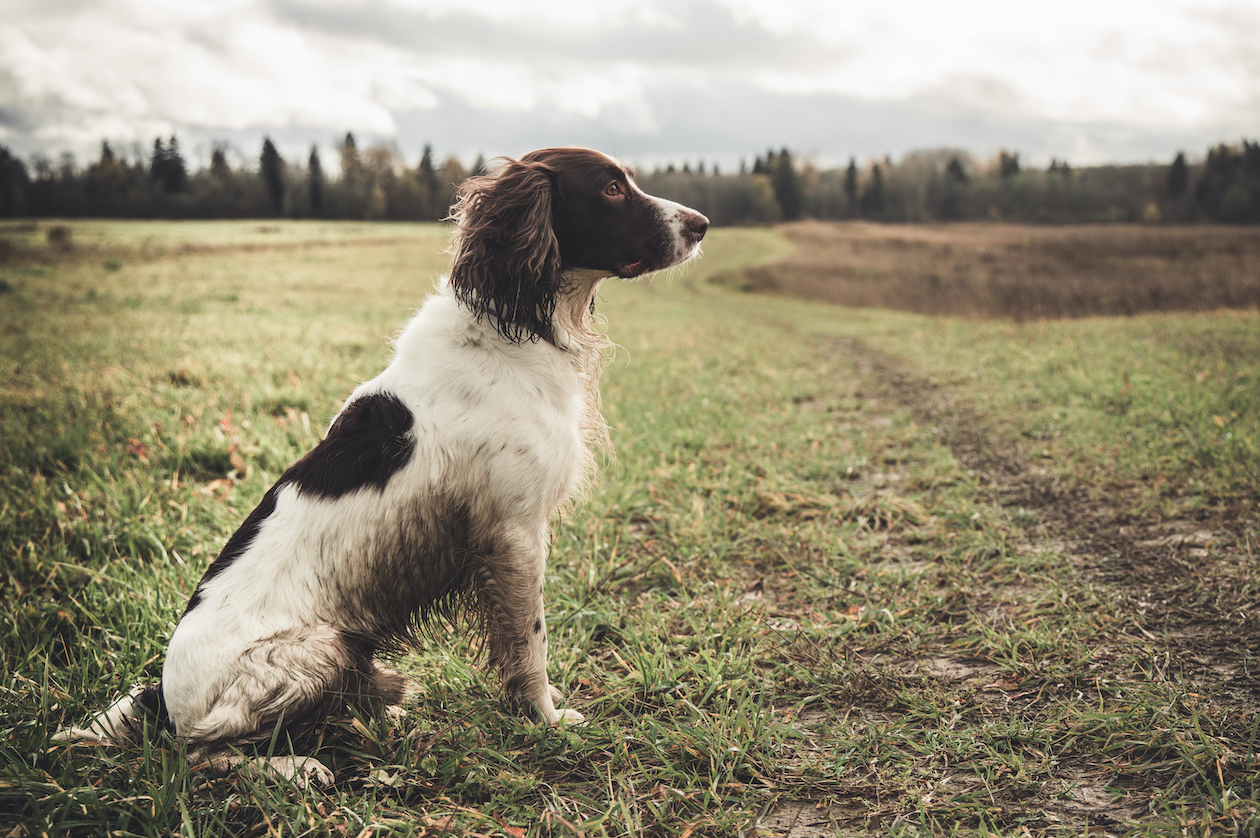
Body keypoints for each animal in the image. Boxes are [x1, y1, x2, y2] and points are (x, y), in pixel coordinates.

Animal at [54, 145, 710, 786]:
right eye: (611, 189)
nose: (702, 224)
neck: (510, 329)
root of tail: (164, 701)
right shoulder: (514, 532)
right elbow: (531, 646)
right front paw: (546, 720)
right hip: (318, 647)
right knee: (196, 754)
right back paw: (293, 766)